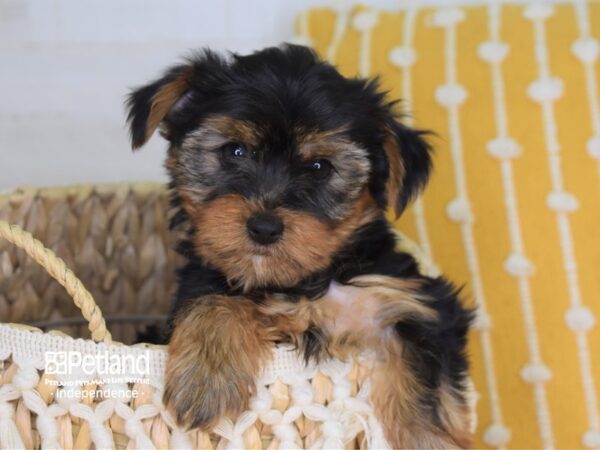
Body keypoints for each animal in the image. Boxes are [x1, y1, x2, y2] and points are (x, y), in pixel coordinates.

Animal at [126, 44, 474, 448]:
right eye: (235, 151)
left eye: (320, 167)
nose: (264, 227)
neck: (304, 282)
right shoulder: (203, 277)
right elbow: (214, 300)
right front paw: (205, 378)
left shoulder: (412, 303)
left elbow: (424, 382)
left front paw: (426, 438)